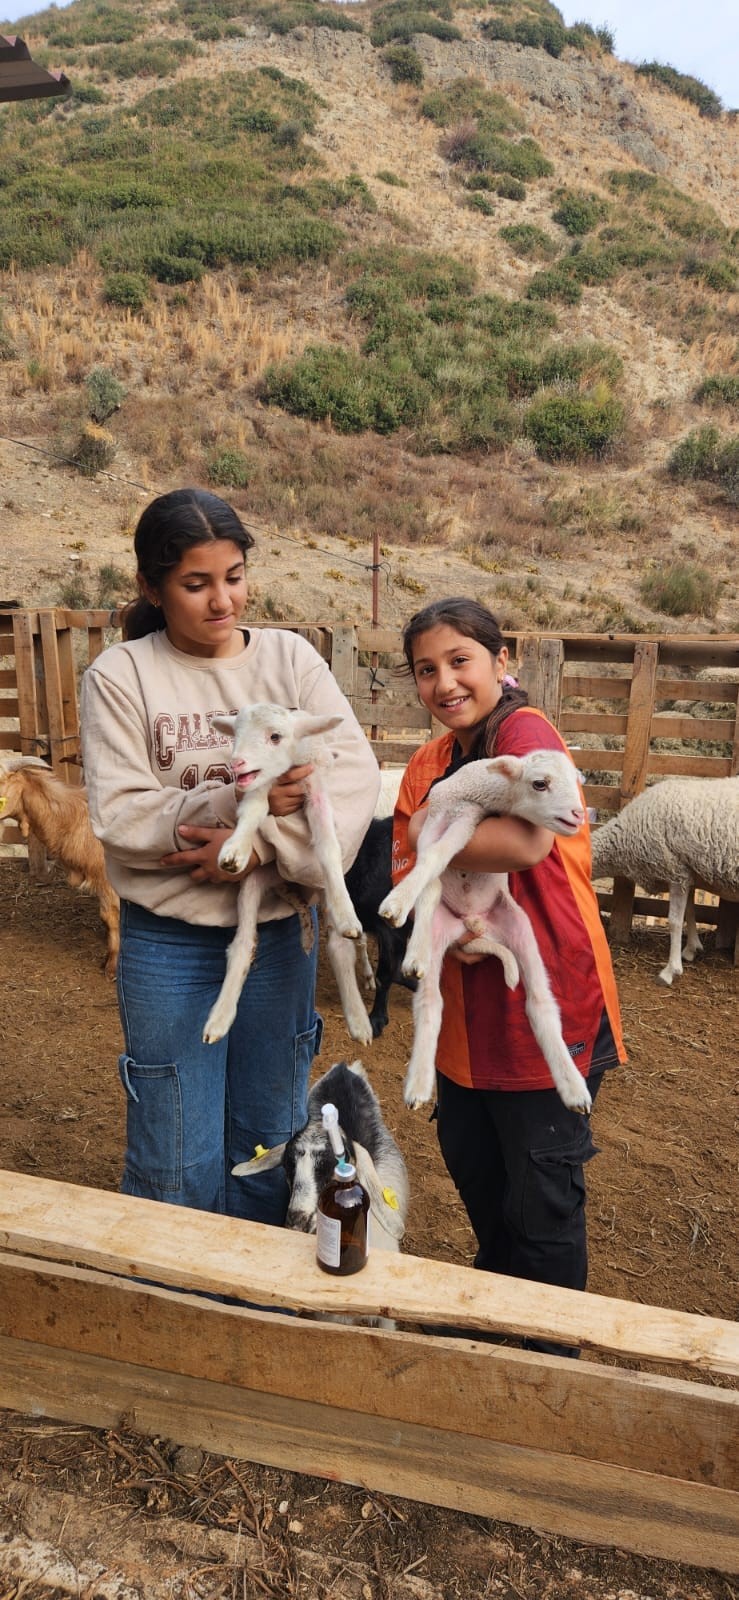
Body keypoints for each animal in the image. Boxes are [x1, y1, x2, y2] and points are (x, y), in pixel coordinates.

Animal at [202, 707, 363, 1043]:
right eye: (235, 734)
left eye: (275, 737)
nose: (237, 763)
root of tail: (292, 889)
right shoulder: (261, 785)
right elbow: (252, 810)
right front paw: (235, 849)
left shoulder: (316, 788)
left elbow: (328, 845)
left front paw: (348, 914)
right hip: (254, 883)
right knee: (242, 946)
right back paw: (219, 1020)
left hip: (321, 890)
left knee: (340, 947)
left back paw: (358, 1022)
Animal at [377, 748, 591, 1113]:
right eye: (540, 783)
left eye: (576, 782)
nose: (578, 815)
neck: (477, 793)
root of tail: (473, 924)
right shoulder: (441, 819)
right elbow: (431, 869)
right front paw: (402, 913)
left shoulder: (466, 822)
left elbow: (435, 861)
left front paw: (400, 906)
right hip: (443, 931)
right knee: (431, 1003)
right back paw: (418, 1085)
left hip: (519, 928)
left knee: (540, 1004)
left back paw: (574, 1088)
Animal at [588, 777, 739, 985]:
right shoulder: (686, 872)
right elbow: (690, 912)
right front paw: (692, 948)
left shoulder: (675, 871)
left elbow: (675, 921)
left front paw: (670, 971)